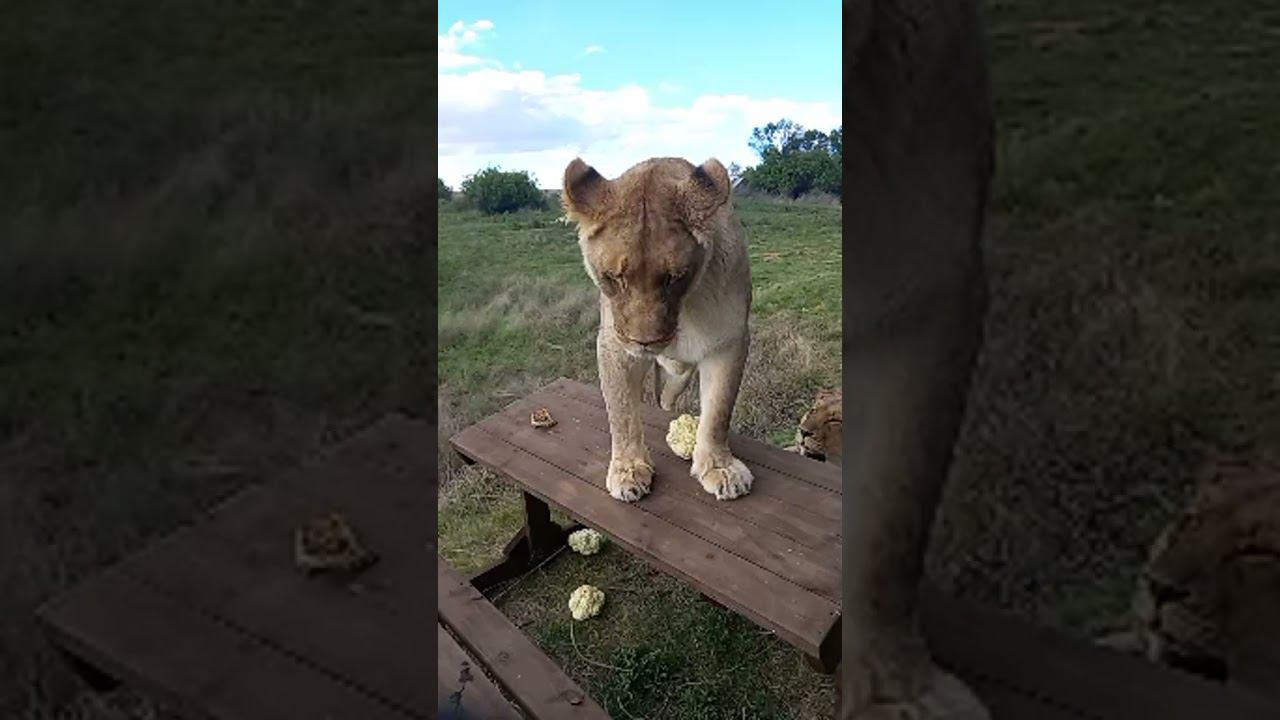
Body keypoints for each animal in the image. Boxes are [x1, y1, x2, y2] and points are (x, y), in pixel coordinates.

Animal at [561, 156, 755, 503]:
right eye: (615, 277)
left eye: (674, 277)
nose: (645, 342)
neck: (685, 313)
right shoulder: (614, 345)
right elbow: (622, 411)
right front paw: (628, 470)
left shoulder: (728, 342)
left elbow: (719, 411)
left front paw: (720, 467)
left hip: (680, 375)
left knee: (669, 395)